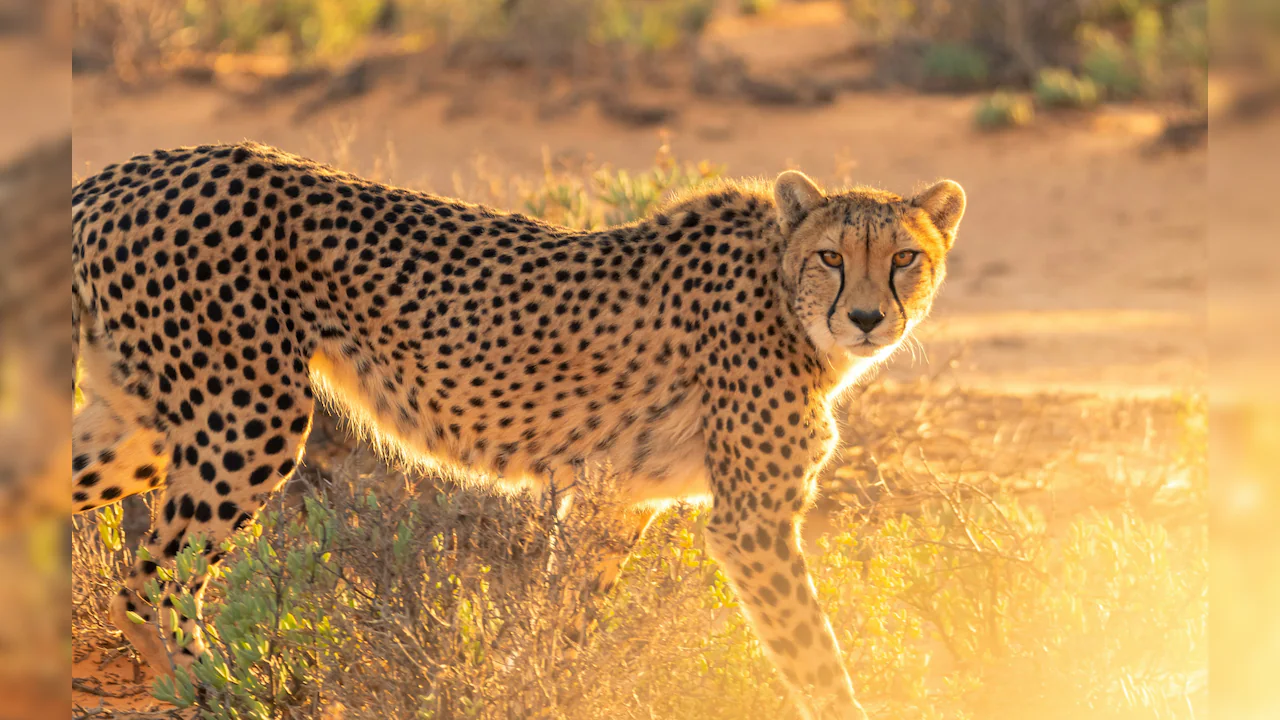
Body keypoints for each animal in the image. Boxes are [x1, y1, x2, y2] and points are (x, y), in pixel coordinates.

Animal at [71, 141, 965, 719]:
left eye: (904, 259)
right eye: (831, 256)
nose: (867, 318)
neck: (784, 294)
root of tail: (126, 170)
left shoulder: (614, 500)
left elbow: (561, 625)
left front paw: (531, 691)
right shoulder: (752, 524)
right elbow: (815, 656)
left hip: (143, 424)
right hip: (248, 418)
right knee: (155, 574)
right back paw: (215, 691)